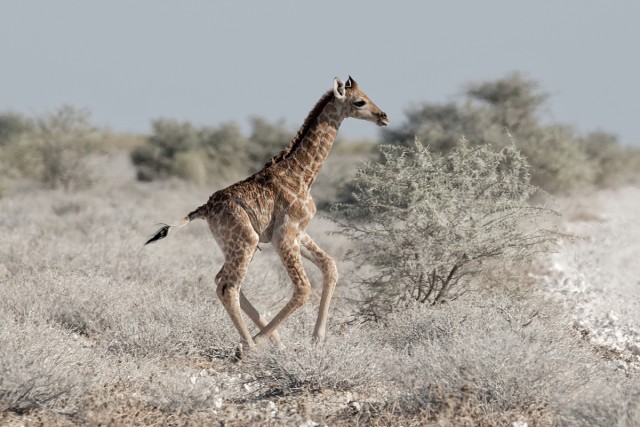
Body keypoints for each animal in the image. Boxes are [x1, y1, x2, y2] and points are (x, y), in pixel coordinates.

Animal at [146, 76, 388, 351]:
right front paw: (265, 341)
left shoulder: (297, 233)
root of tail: (204, 210)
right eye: (359, 102)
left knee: (222, 281)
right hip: (246, 241)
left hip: (238, 245)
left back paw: (270, 341)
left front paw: (317, 338)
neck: (302, 174)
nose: (383, 116)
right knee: (228, 287)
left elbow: (330, 266)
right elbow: (303, 289)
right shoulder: (285, 236)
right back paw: (251, 345)